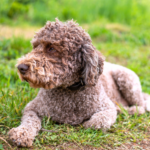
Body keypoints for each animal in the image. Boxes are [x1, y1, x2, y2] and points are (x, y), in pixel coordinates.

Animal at [8, 18, 150, 146]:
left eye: (51, 48)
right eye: (35, 46)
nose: (21, 67)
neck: (68, 89)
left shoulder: (107, 108)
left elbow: (97, 122)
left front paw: (88, 123)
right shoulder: (32, 107)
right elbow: (30, 121)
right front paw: (21, 134)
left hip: (127, 80)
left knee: (142, 106)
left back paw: (130, 110)